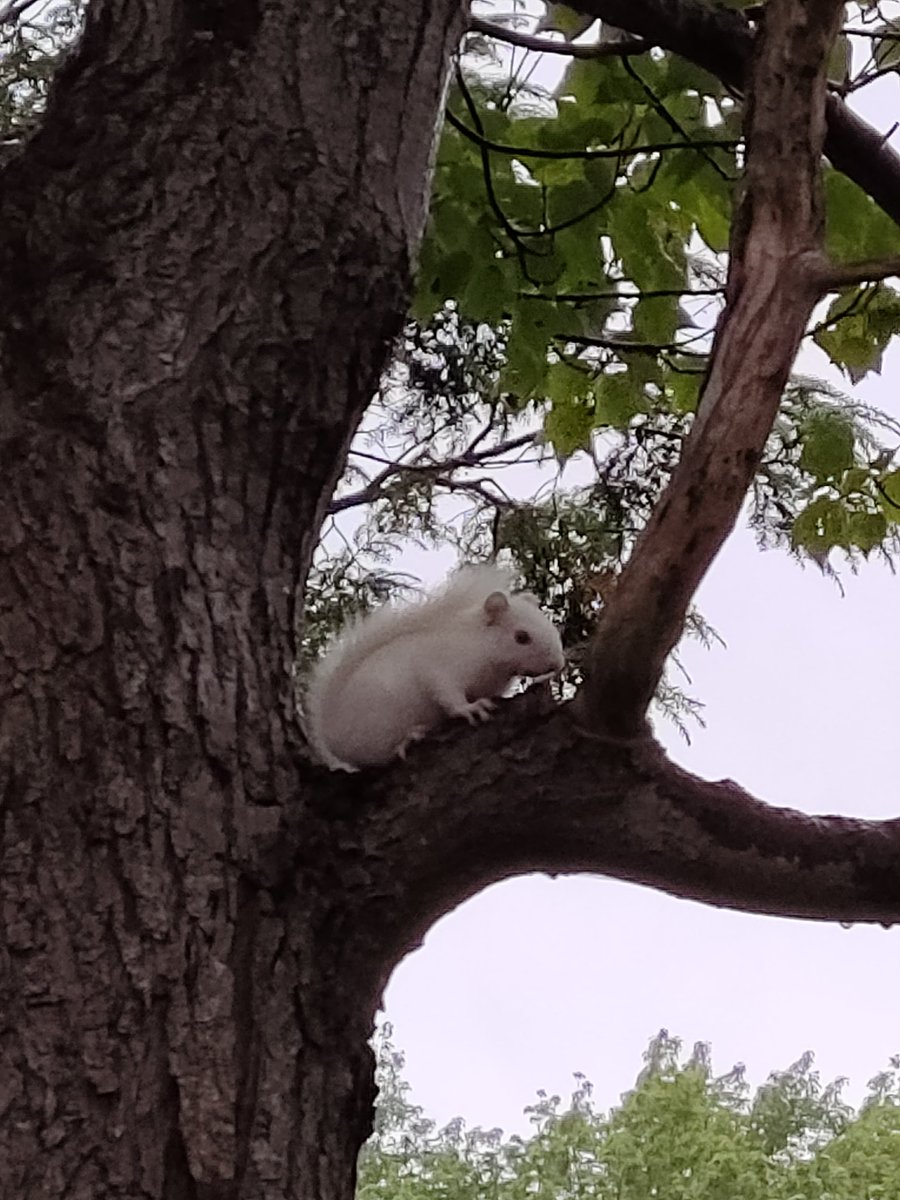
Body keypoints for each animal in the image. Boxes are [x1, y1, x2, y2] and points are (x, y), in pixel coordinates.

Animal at [305, 564, 566, 770]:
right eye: (521, 637)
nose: (558, 663)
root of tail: (331, 735)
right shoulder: (440, 667)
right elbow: (448, 695)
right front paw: (470, 709)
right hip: (375, 725)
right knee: (377, 755)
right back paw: (409, 738)